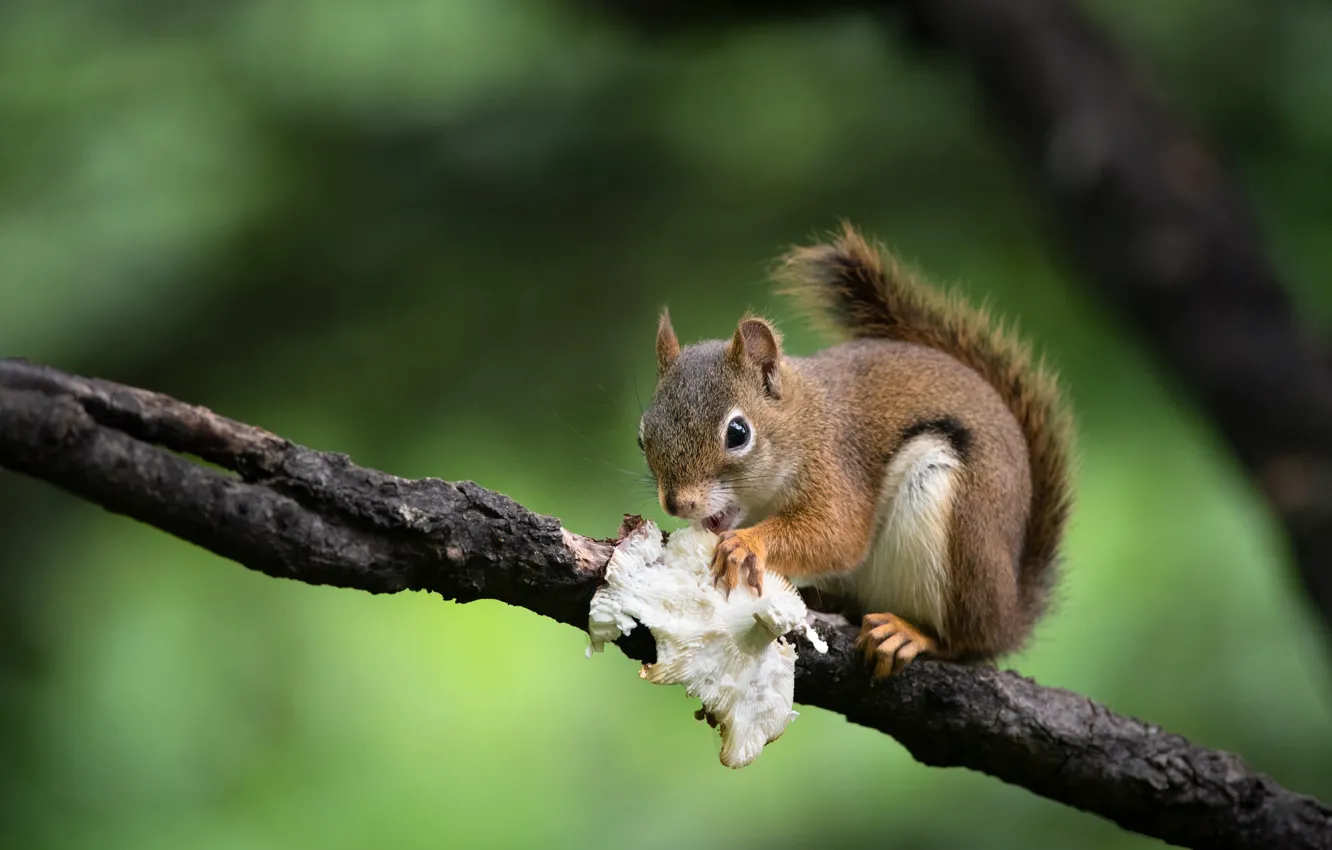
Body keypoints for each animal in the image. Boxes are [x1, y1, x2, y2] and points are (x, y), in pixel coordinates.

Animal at [637, 223, 1074, 678]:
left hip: (958, 531)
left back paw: (910, 634)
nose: (677, 504)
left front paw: (746, 544)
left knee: (963, 641)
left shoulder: (836, 466)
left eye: (737, 433)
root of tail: (1008, 615)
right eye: (642, 434)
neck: (804, 421)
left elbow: (838, 534)